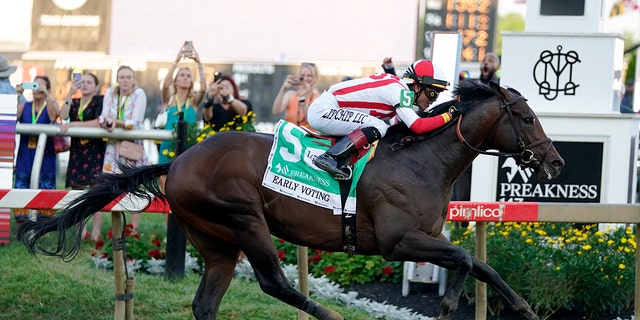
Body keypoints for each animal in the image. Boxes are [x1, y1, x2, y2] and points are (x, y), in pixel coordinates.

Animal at [17, 80, 564, 320]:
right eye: (527, 118)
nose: (556, 163)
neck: (421, 160)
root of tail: (177, 161)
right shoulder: (397, 242)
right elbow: (471, 261)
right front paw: (460, 306)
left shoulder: (427, 238)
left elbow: (476, 264)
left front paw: (512, 307)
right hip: (243, 219)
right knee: (273, 282)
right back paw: (331, 316)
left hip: (215, 241)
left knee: (206, 303)